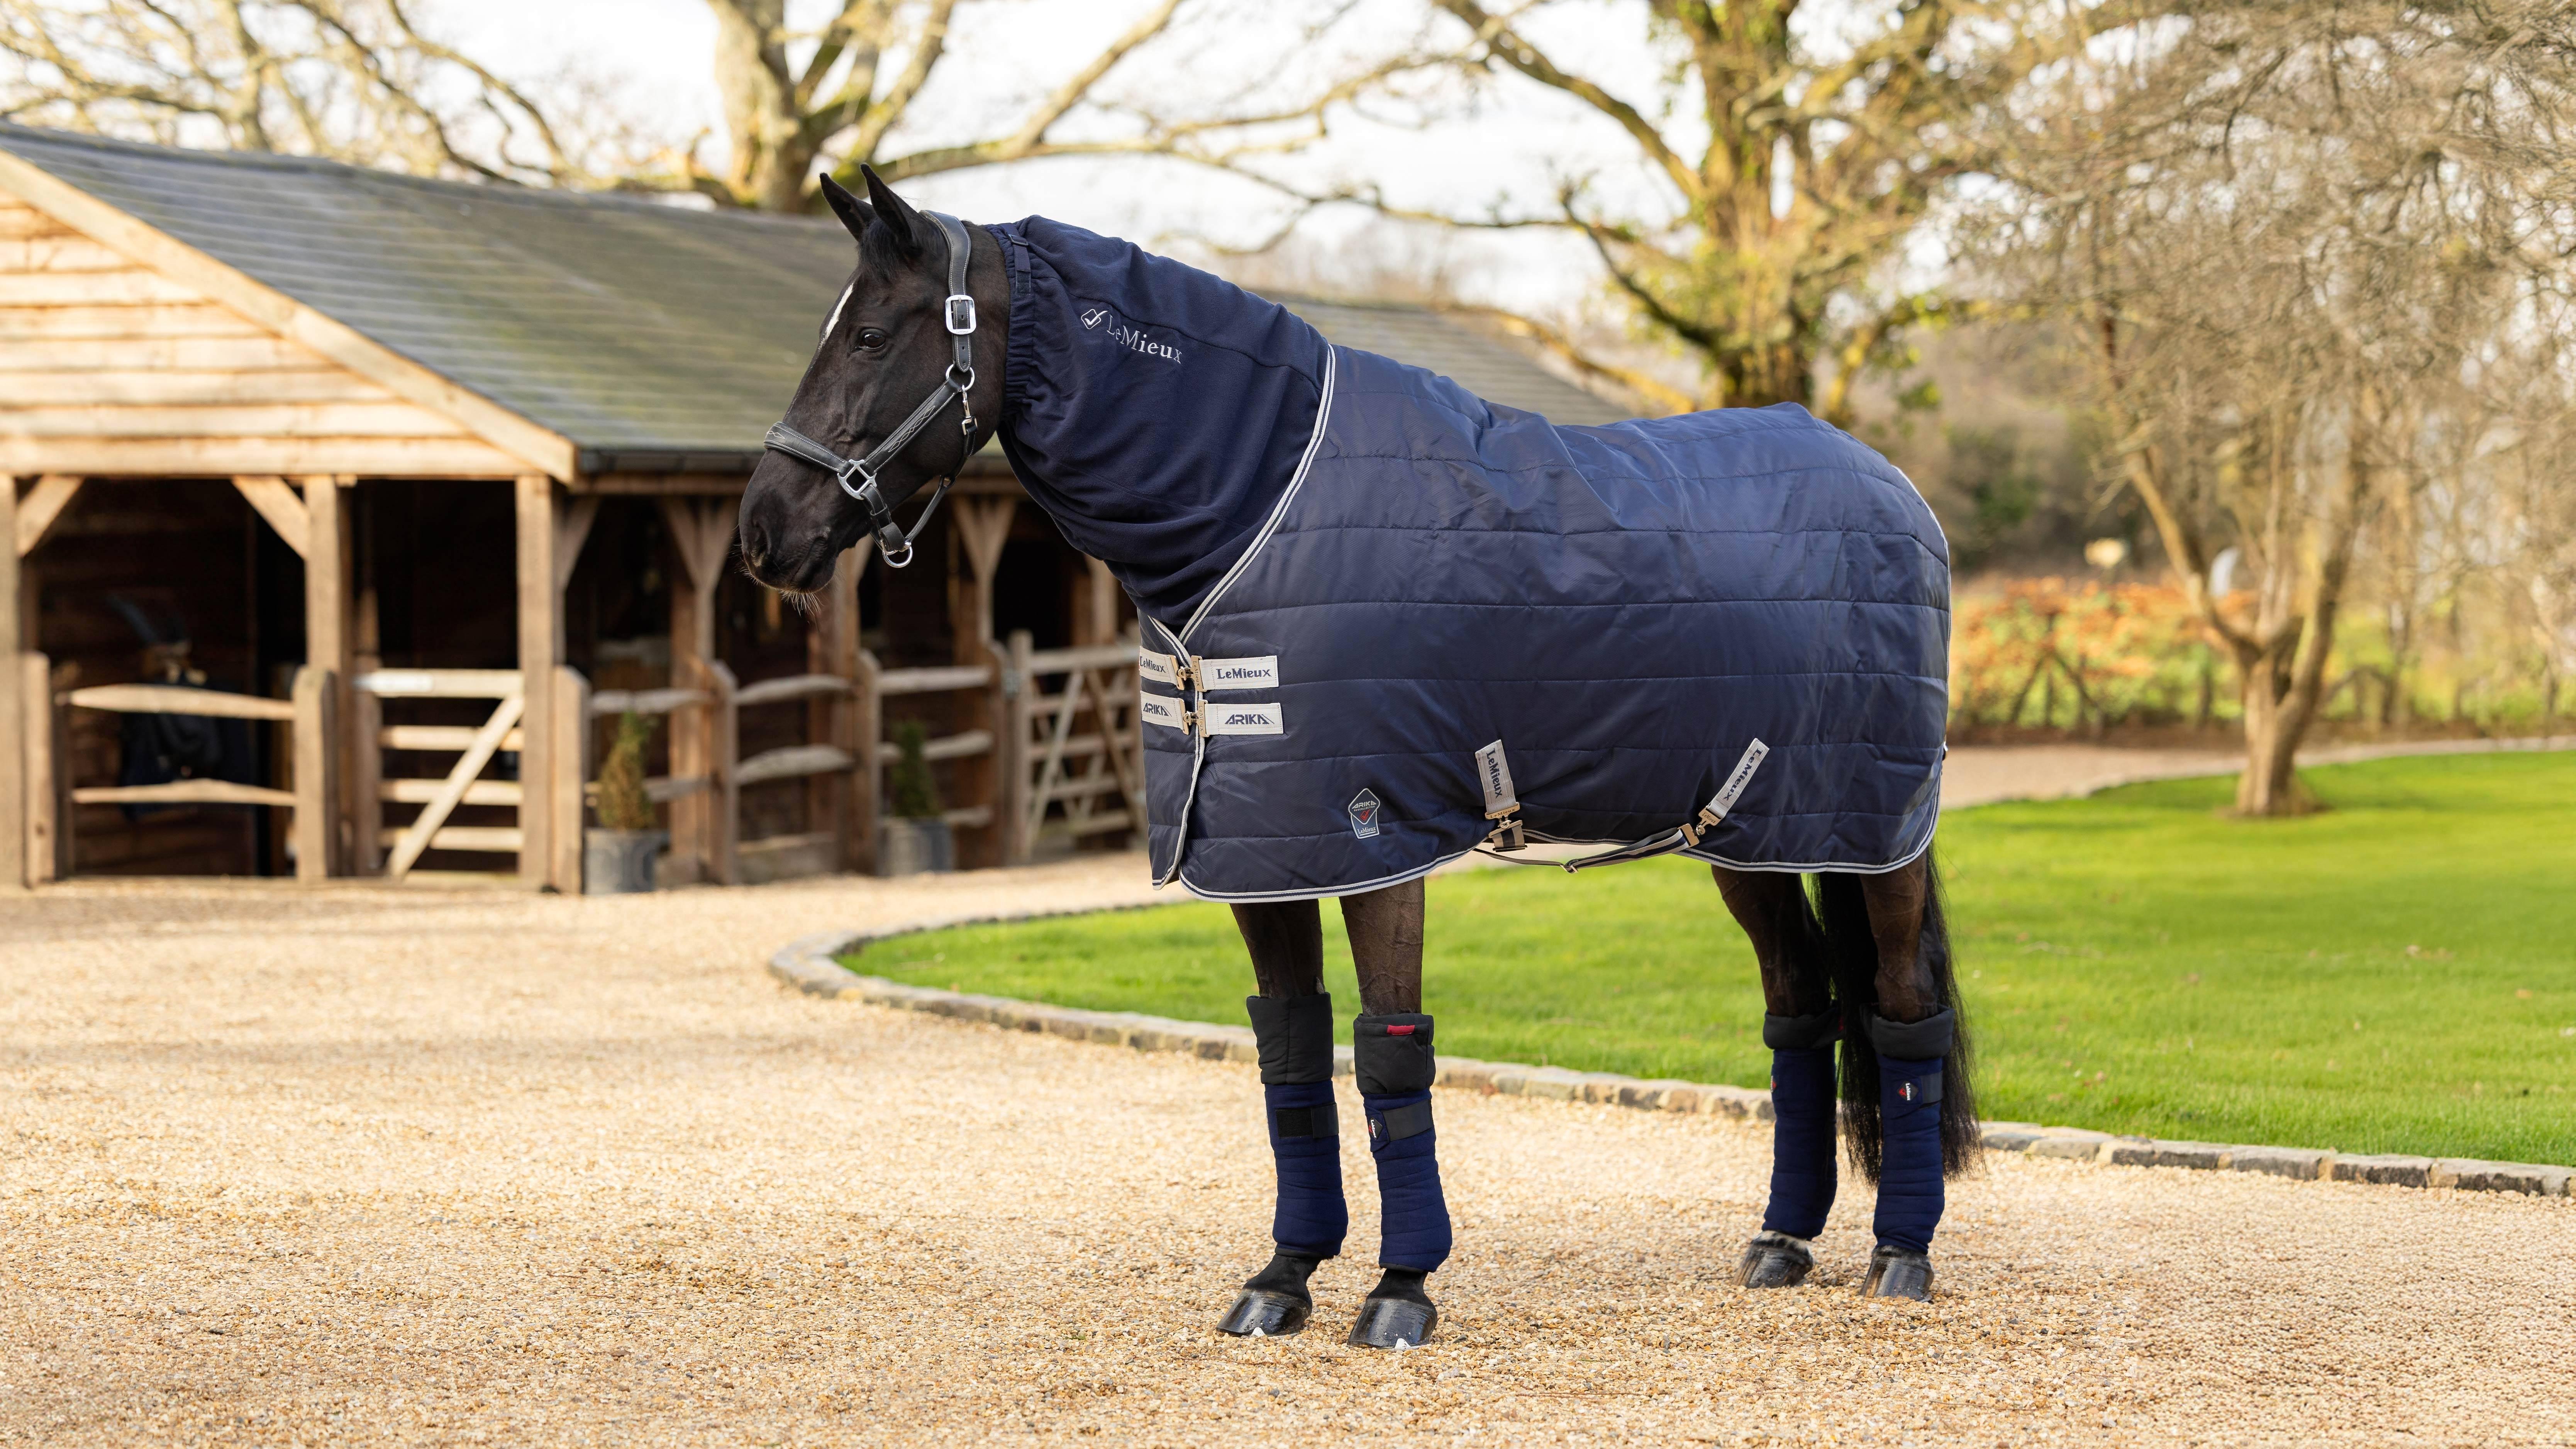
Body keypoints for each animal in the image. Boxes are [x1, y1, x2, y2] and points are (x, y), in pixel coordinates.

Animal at [739, 167, 1976, 1350]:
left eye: (871, 334)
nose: (763, 532)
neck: (1255, 510)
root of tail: (1893, 489)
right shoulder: (1259, 849)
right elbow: (1289, 1055)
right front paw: (1282, 1277)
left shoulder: (1373, 834)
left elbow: (1388, 1055)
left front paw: (1399, 1288)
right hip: (1749, 830)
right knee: (1800, 1005)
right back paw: (1783, 1239)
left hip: (1879, 832)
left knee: (1902, 1009)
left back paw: (1899, 1255)